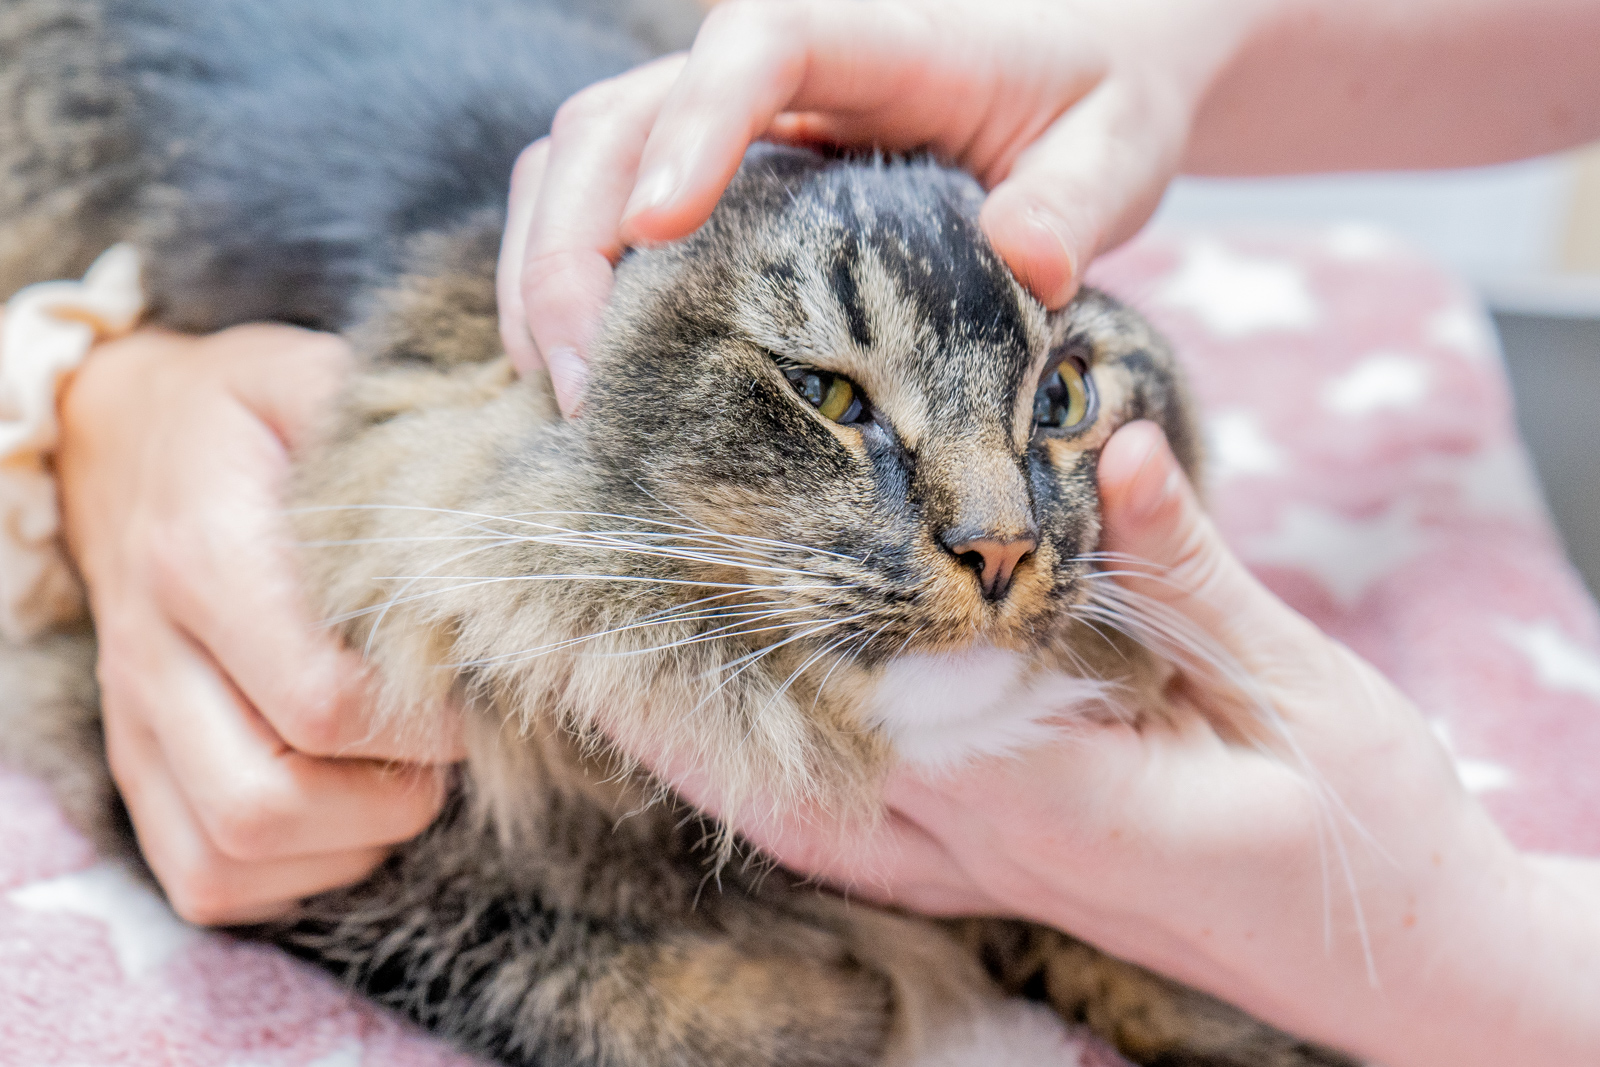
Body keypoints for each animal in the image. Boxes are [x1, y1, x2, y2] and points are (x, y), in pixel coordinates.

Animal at [0, 2, 1363, 1067]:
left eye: (1064, 398)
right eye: (826, 396)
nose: (1000, 548)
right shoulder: (184, 783)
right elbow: (572, 968)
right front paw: (839, 996)